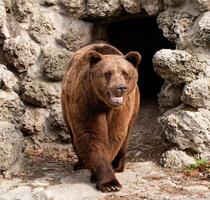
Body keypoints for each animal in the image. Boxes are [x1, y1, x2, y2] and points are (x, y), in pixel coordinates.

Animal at [61, 43, 141, 193]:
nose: (120, 88)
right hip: (66, 105)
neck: (103, 104)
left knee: (126, 136)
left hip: (134, 108)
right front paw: (109, 183)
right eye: (107, 73)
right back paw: (80, 164)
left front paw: (107, 178)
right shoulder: (86, 102)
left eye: (125, 73)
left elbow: (115, 135)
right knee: (74, 136)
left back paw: (118, 165)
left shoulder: (121, 109)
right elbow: (91, 135)